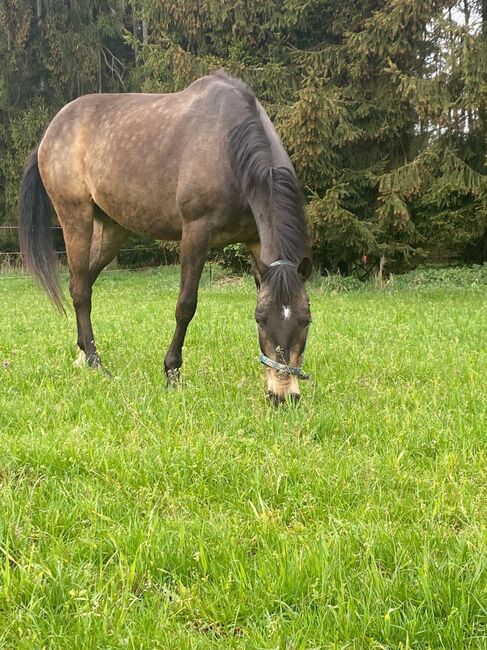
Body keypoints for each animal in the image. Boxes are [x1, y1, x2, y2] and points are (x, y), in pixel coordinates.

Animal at [19, 72, 312, 404]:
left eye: (306, 320)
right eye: (260, 319)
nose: (284, 396)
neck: (229, 147)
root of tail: (49, 133)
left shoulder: (256, 242)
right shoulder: (196, 234)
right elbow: (186, 305)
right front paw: (172, 372)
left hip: (113, 230)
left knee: (84, 283)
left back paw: (82, 353)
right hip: (75, 217)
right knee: (80, 289)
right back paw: (96, 363)